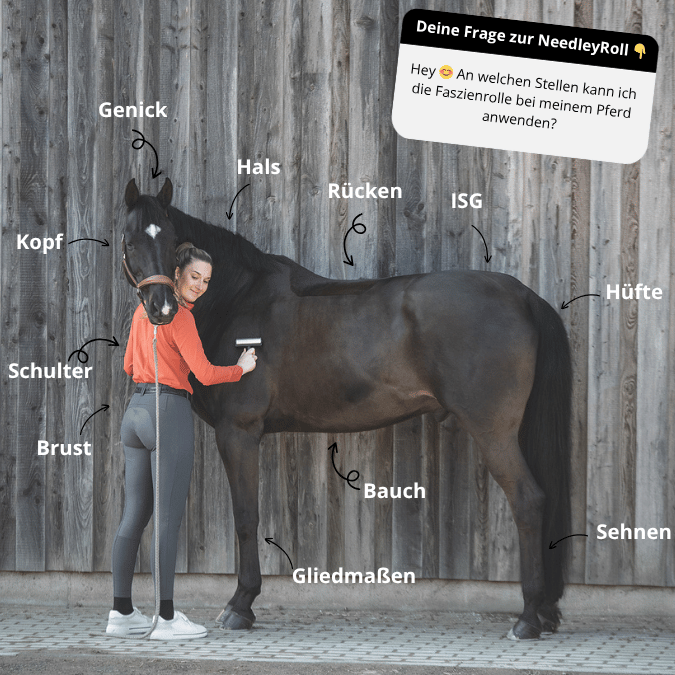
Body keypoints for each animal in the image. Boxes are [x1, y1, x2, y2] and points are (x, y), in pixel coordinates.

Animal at [122, 177, 572, 640]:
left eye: (171, 241)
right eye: (130, 239)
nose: (161, 308)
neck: (238, 299)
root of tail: (523, 296)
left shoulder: (238, 432)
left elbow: (246, 517)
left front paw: (240, 605)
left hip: (494, 432)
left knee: (529, 501)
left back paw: (527, 618)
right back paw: (543, 612)